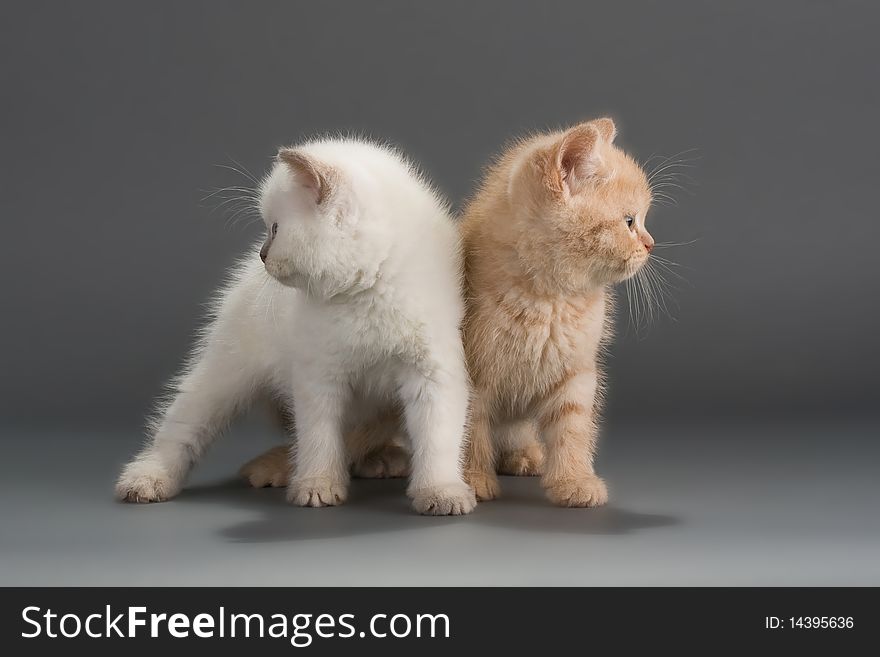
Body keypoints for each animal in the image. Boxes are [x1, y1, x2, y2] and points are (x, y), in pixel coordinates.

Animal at [117, 138, 478, 516]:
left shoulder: (433, 370)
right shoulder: (318, 374)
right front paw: (318, 485)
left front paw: (441, 491)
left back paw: (381, 459)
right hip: (226, 369)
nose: (262, 254)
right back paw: (147, 479)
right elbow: (319, 435)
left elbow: (438, 436)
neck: (365, 295)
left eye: (275, 229)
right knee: (184, 424)